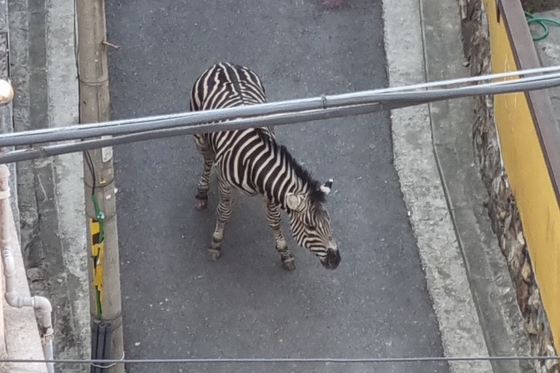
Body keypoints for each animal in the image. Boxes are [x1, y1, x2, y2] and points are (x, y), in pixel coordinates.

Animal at [189, 62, 342, 268]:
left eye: (328, 221)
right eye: (310, 227)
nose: (336, 260)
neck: (252, 163)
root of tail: (223, 64)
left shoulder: (269, 192)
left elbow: (274, 220)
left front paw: (284, 252)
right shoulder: (227, 185)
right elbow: (223, 212)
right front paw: (215, 243)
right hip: (200, 136)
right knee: (207, 159)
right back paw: (202, 193)